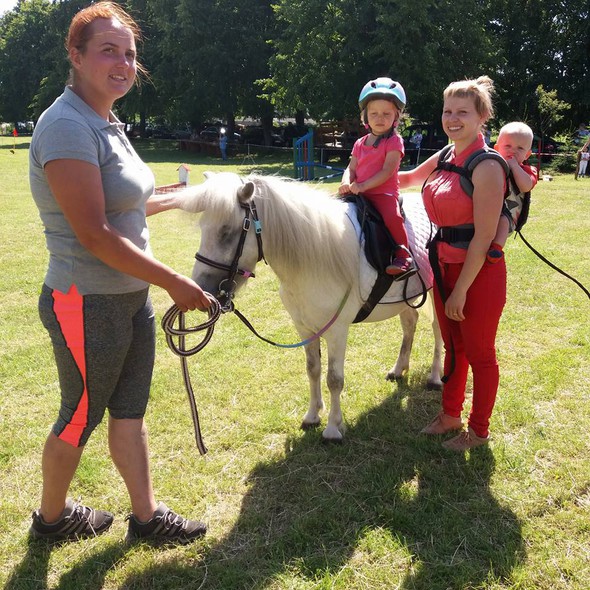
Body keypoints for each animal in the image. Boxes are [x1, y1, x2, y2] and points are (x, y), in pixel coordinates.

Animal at [178, 173, 442, 442]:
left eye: (227, 232)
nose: (202, 290)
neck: (317, 257)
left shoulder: (337, 331)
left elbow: (334, 379)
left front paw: (333, 428)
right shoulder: (304, 327)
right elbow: (313, 369)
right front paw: (313, 415)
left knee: (438, 330)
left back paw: (435, 376)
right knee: (409, 324)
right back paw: (399, 369)